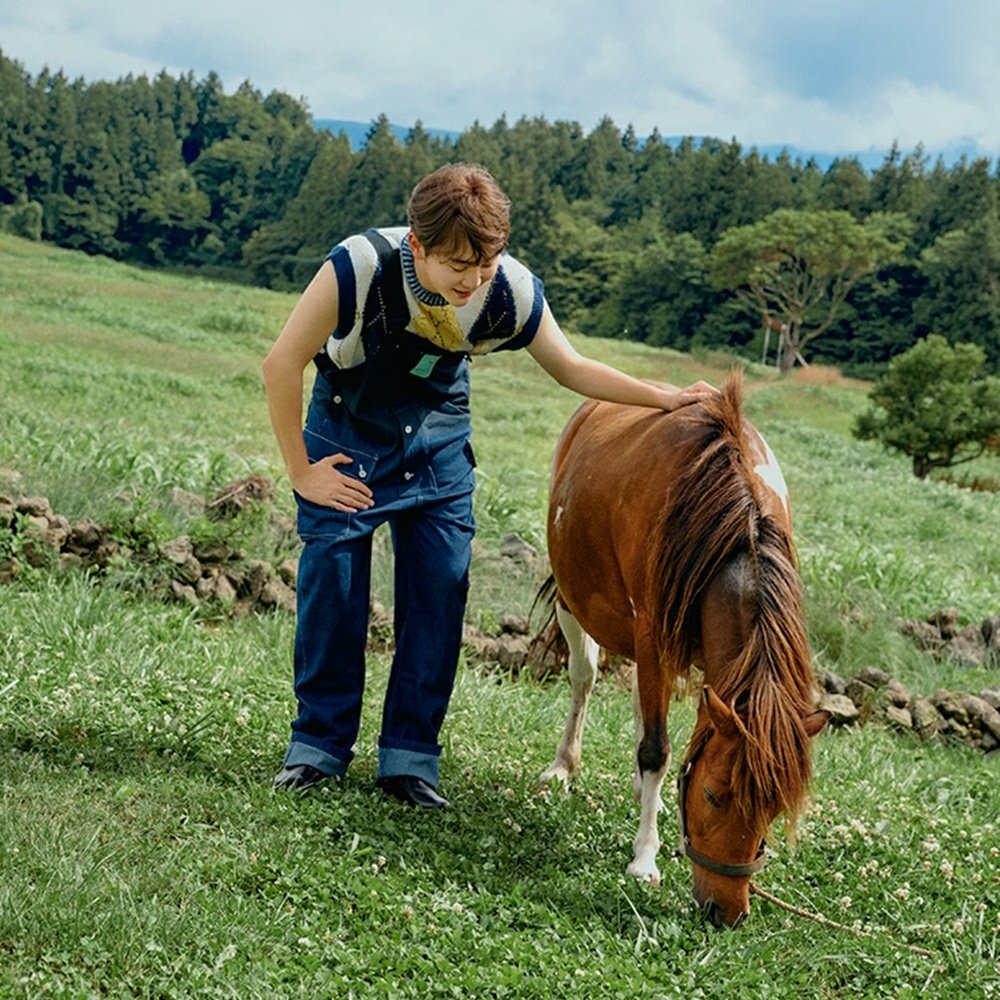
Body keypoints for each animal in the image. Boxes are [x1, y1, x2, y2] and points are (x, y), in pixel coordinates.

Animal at [538, 372, 828, 928]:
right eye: (715, 797)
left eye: (773, 809)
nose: (726, 911)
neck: (734, 523)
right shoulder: (653, 634)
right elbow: (657, 749)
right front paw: (645, 858)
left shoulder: (715, 665)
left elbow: (684, 740)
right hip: (572, 599)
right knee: (584, 679)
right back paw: (565, 764)